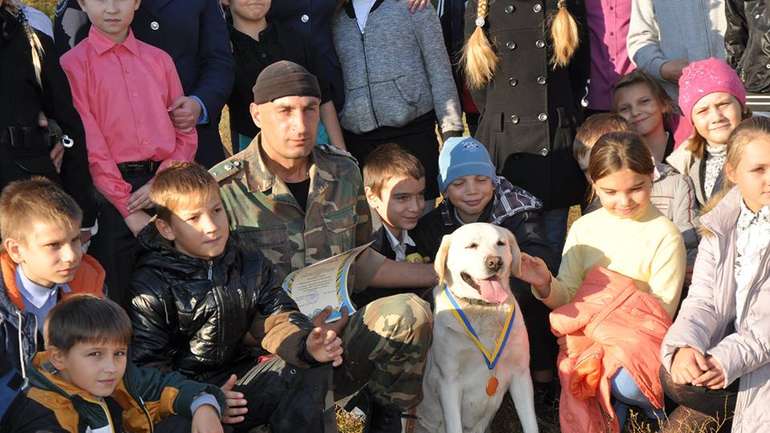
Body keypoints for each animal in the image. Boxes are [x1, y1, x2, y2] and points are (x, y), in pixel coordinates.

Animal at [414, 223, 536, 432]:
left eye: (500, 243)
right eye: (471, 245)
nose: (495, 262)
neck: (483, 308)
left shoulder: (521, 374)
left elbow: (531, 424)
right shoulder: (449, 381)